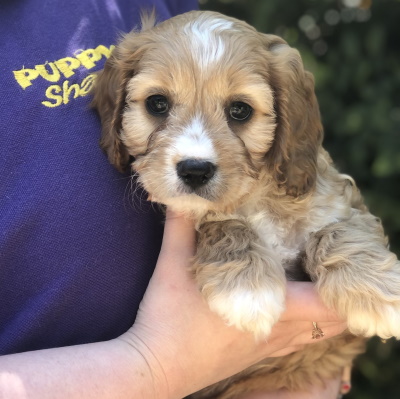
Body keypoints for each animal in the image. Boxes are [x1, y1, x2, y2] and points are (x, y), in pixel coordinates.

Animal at [91, 10, 400, 398]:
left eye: (240, 110)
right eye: (157, 104)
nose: (195, 170)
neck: (256, 196)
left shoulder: (342, 202)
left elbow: (335, 231)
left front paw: (379, 291)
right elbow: (225, 224)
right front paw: (247, 289)